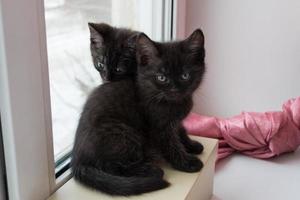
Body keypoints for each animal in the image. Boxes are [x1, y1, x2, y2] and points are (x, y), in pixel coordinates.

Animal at [71, 29, 205, 195]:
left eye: (185, 76)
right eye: (161, 77)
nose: (174, 90)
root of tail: (77, 161)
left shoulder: (175, 122)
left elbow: (180, 131)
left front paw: (191, 145)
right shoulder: (159, 127)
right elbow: (171, 145)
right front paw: (186, 162)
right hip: (123, 132)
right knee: (109, 165)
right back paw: (151, 170)